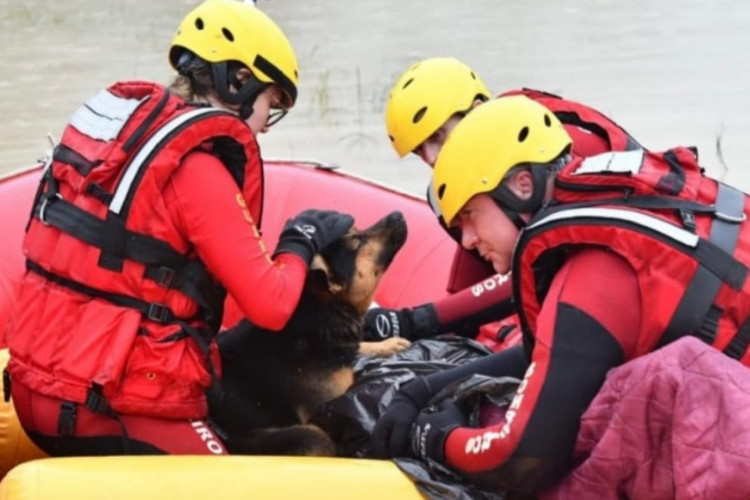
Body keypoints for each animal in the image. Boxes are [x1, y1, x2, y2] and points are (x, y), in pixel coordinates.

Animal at [209, 211, 408, 458]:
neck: (321, 309)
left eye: (357, 231)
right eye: (358, 241)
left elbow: (360, 346)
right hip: (303, 437)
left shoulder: (343, 346)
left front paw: (388, 345)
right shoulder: (326, 410)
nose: (397, 214)